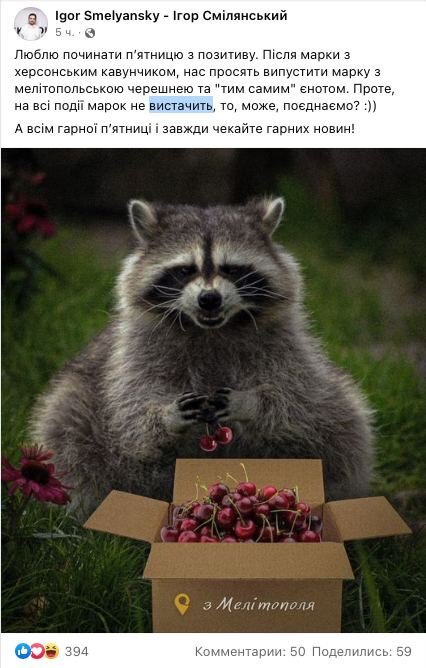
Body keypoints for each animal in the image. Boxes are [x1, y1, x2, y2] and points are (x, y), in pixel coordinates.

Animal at [31, 198, 373, 517]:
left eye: (232, 269)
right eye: (185, 270)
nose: (209, 298)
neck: (210, 328)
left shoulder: (286, 345)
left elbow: (300, 401)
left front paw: (251, 402)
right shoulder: (131, 353)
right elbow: (129, 413)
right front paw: (164, 417)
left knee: (345, 422)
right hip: (81, 406)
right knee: (66, 424)